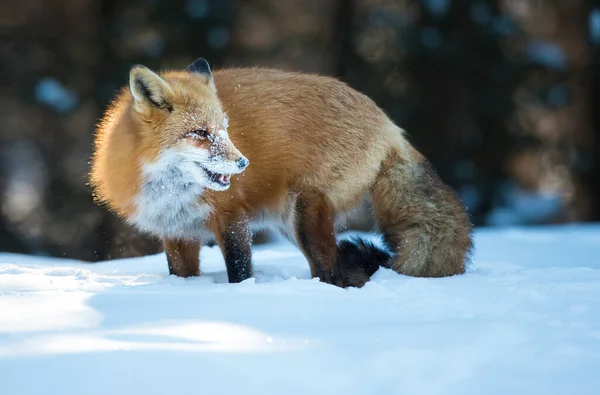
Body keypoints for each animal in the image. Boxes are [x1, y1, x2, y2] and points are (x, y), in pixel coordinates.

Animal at [90, 58, 474, 288]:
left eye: (224, 129)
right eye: (199, 133)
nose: (243, 164)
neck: (170, 192)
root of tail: (390, 126)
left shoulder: (232, 218)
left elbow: (240, 271)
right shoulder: (177, 232)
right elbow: (182, 274)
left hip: (303, 217)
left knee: (331, 272)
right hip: (289, 223)